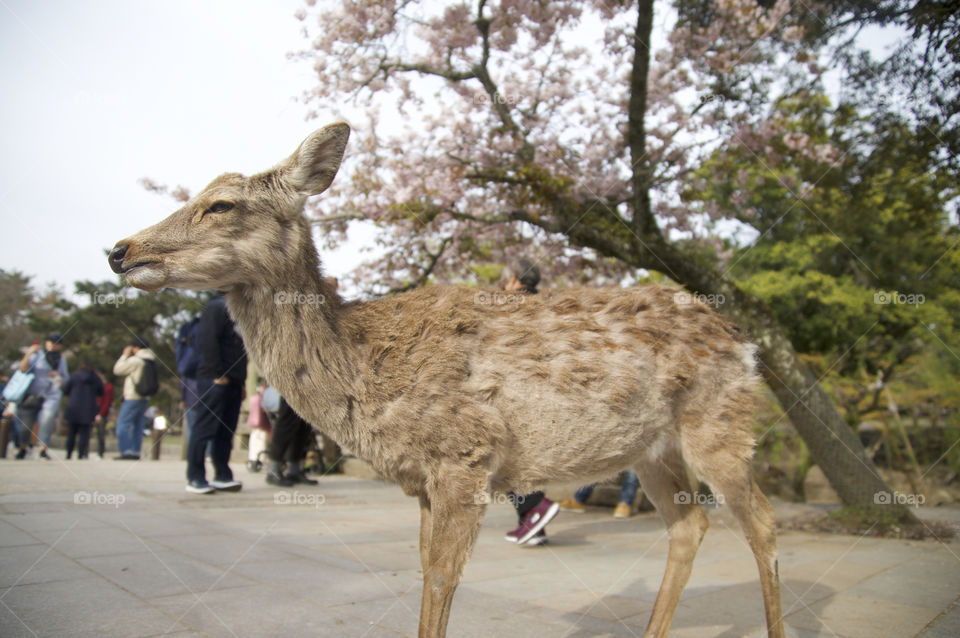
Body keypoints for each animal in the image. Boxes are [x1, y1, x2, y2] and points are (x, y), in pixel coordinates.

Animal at [109, 123, 784, 638]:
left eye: (222, 204)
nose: (120, 250)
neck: (365, 371)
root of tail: (742, 339)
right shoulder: (423, 481)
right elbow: (425, 572)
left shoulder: (465, 454)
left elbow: (440, 577)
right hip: (650, 448)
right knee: (690, 525)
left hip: (719, 423)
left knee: (762, 520)